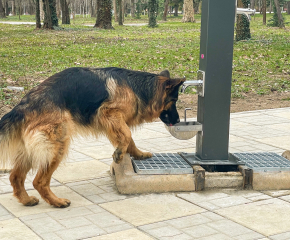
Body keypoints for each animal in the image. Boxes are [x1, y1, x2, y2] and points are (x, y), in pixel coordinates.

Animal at [0, 66, 185, 207]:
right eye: (174, 100)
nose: (177, 120)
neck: (138, 88)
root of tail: (22, 106)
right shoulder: (109, 113)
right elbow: (127, 134)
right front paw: (119, 153)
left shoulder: (115, 122)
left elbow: (129, 139)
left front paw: (138, 154)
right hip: (57, 146)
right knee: (38, 181)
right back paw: (56, 202)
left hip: (32, 151)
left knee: (15, 177)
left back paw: (26, 200)